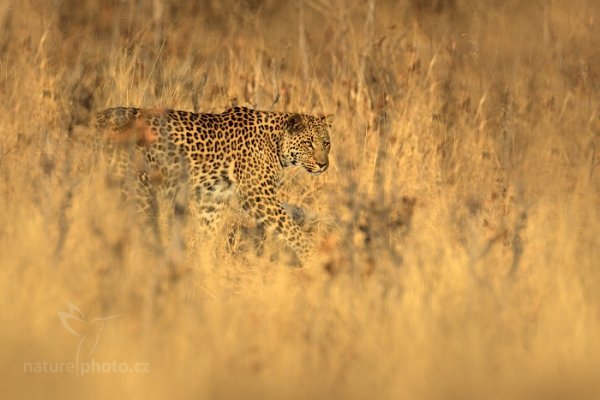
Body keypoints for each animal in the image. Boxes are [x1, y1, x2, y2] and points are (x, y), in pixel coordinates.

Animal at [94, 104, 332, 260]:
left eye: (327, 143)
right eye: (309, 143)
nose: (323, 165)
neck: (275, 143)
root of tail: (98, 118)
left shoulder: (213, 198)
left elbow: (208, 230)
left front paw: (202, 260)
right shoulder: (258, 194)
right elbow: (291, 228)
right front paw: (313, 257)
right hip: (136, 190)